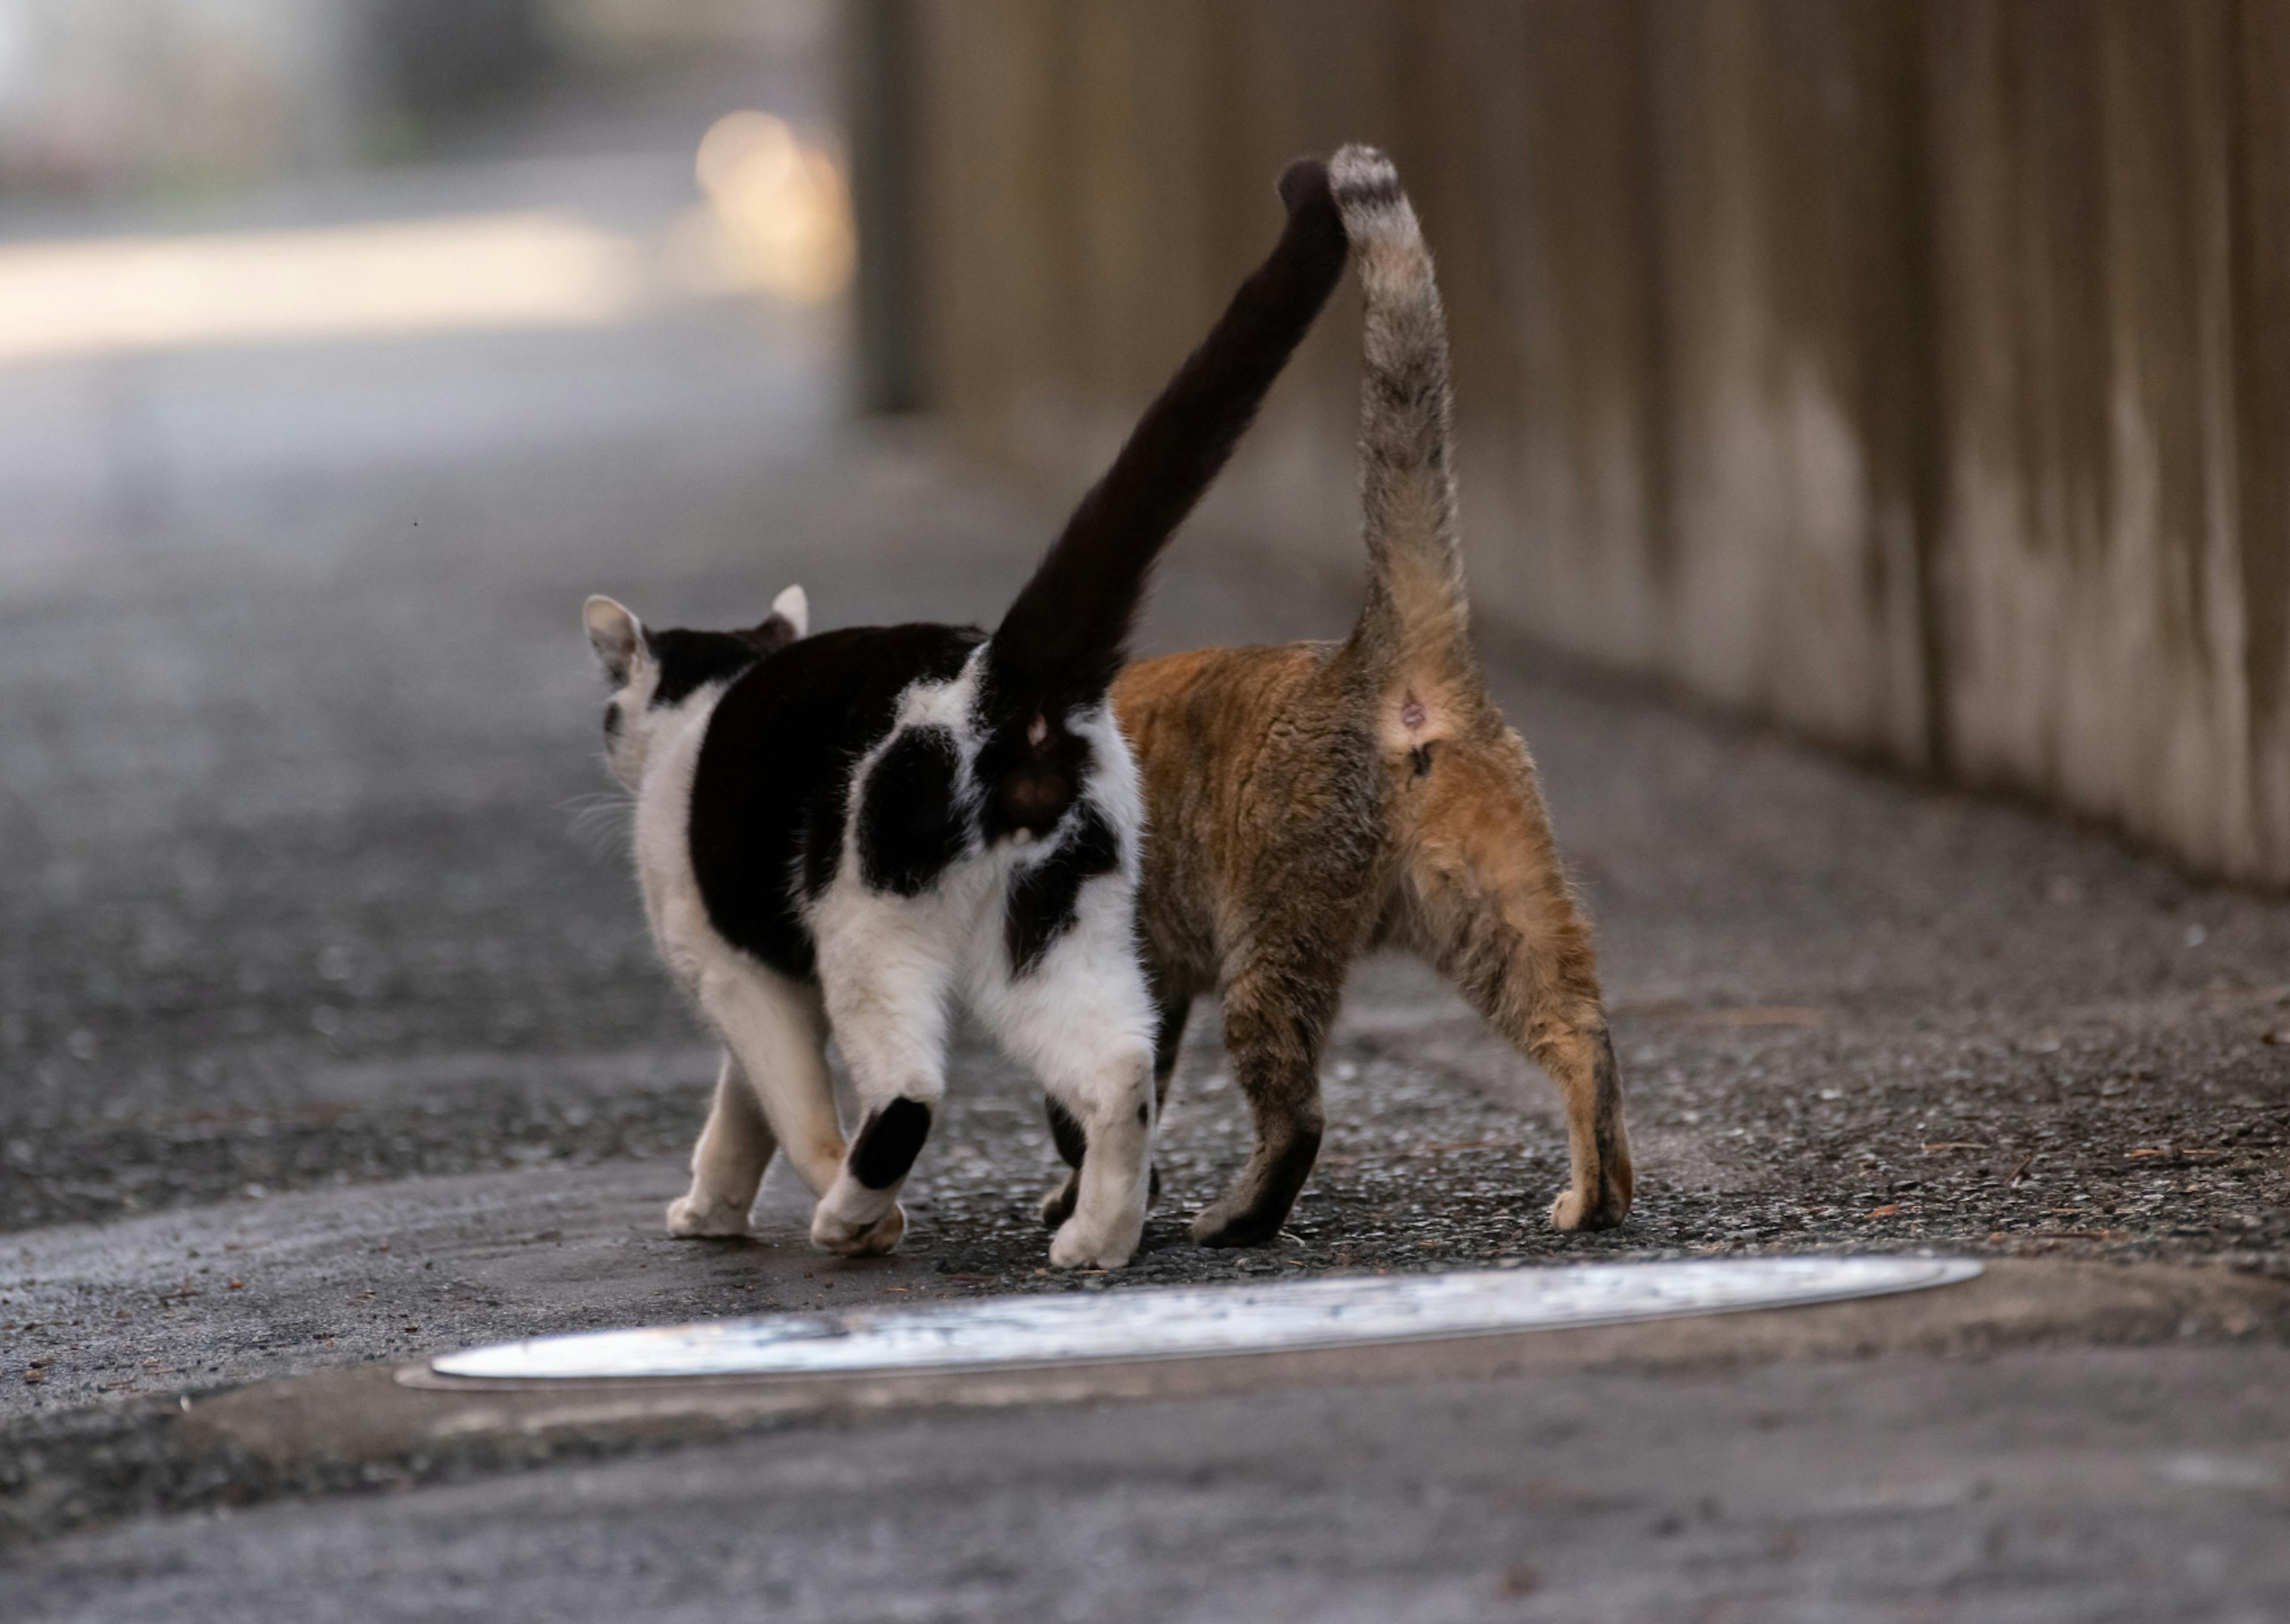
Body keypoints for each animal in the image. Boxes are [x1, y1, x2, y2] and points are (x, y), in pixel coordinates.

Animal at [581, 156, 1346, 1264]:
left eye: (612, 711)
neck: (707, 703)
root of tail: (1003, 679)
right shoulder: (777, 975)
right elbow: (743, 1108)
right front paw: (713, 1209)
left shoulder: (739, 970)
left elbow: (786, 1102)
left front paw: (827, 1205)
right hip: (1055, 928)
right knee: (1122, 1066)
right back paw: (1099, 1236)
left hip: (872, 933)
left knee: (909, 1090)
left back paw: (852, 1214)